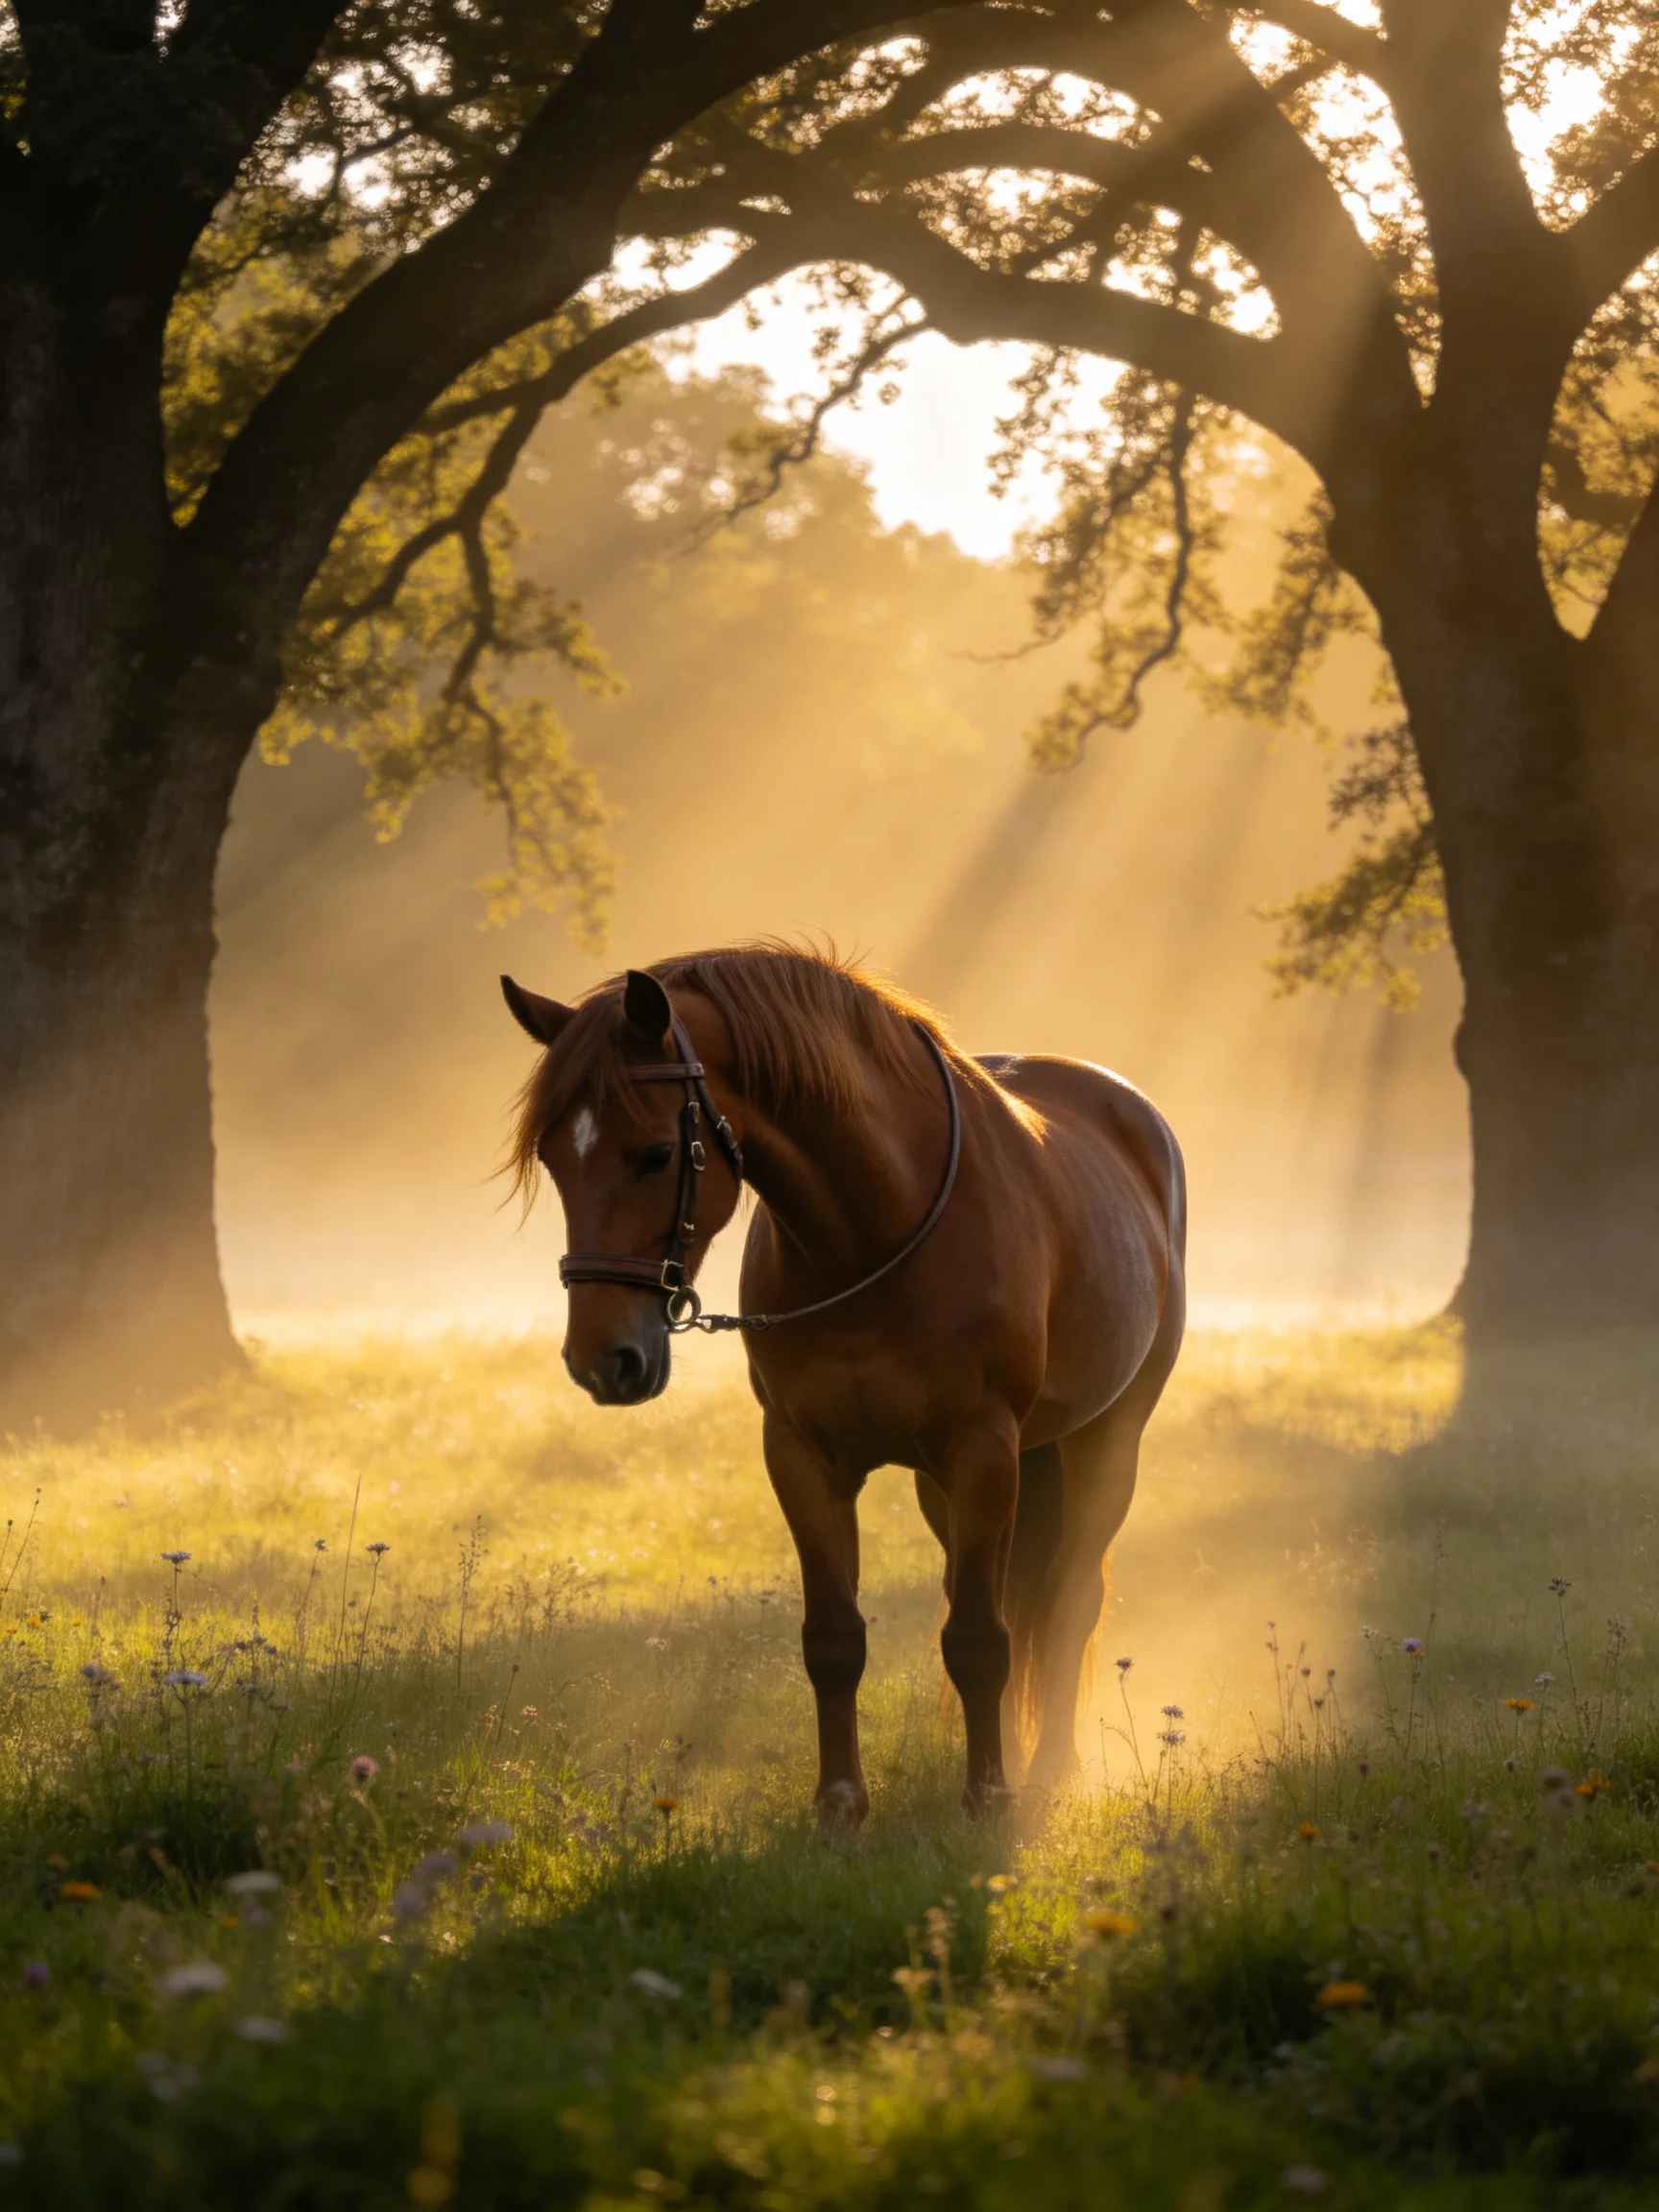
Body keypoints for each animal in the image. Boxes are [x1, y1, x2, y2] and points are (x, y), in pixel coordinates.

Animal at [502, 944, 1185, 1821]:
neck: (873, 1235)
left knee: (1068, 1597)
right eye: (553, 1157)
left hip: (1104, 1441)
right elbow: (836, 1638)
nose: (602, 1357)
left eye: (656, 1153)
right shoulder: (803, 1455)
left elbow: (979, 1638)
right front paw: (839, 1804)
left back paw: (1046, 1771)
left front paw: (987, 1798)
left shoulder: (983, 1451)